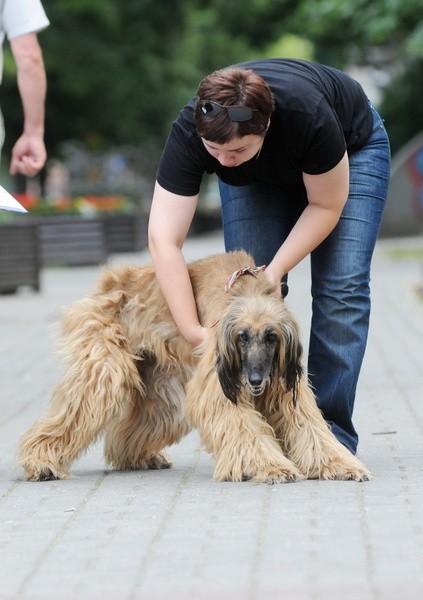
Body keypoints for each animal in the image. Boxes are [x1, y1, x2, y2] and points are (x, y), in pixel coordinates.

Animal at [18, 251, 372, 486]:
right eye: (242, 337)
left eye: (271, 337)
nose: (256, 381)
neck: (245, 293)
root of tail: (109, 280)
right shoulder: (221, 383)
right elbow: (243, 426)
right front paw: (271, 467)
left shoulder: (283, 385)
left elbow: (309, 426)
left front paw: (340, 463)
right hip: (104, 370)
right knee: (76, 409)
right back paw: (41, 462)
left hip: (160, 386)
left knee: (135, 425)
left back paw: (137, 457)